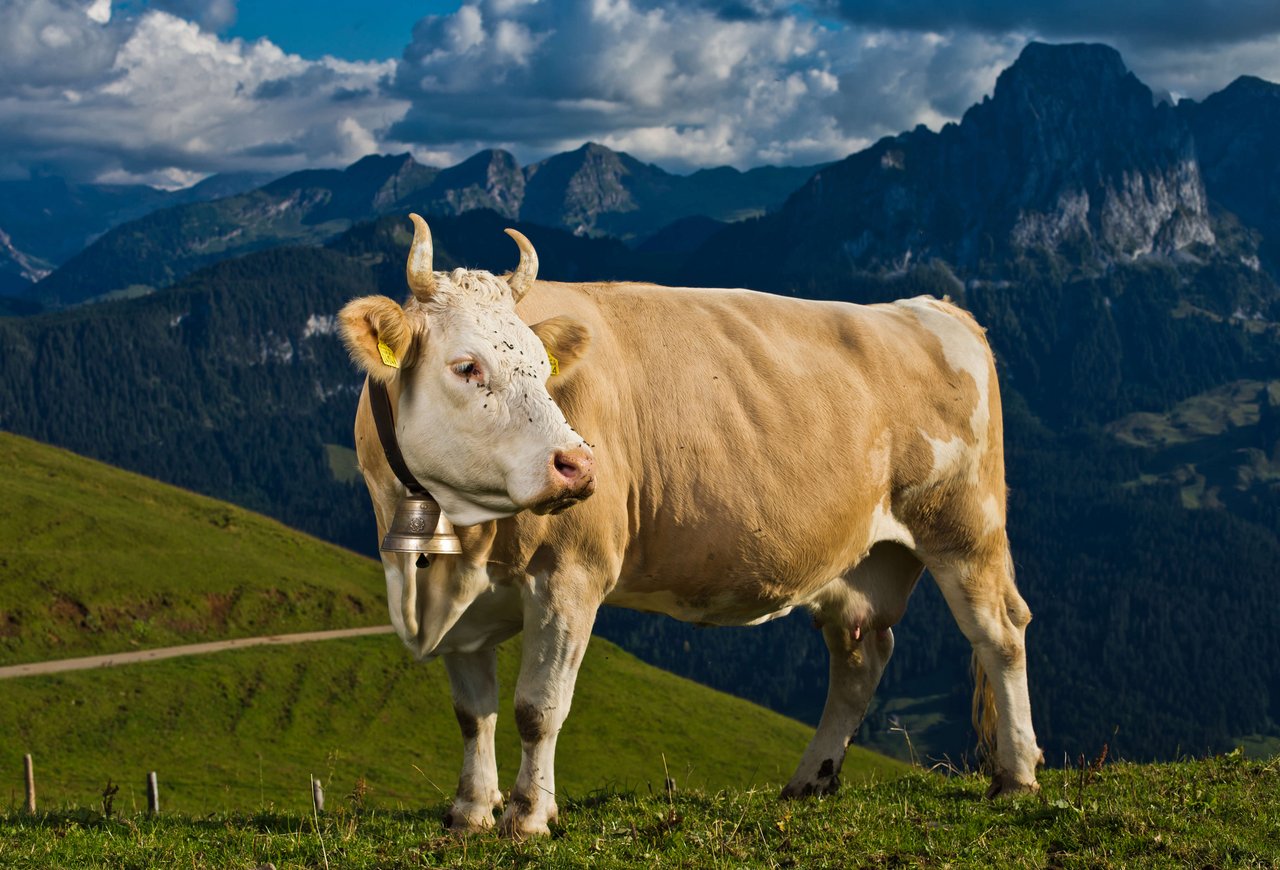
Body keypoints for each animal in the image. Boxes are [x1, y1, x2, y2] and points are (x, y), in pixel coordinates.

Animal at [340, 213, 1039, 839]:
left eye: (542, 369)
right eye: (466, 366)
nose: (578, 464)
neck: (443, 566)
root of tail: (929, 307)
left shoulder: (571, 576)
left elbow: (537, 709)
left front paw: (529, 816)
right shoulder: (464, 609)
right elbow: (472, 715)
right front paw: (468, 814)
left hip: (966, 527)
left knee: (1000, 633)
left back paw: (1017, 776)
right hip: (863, 558)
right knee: (860, 653)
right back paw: (809, 782)